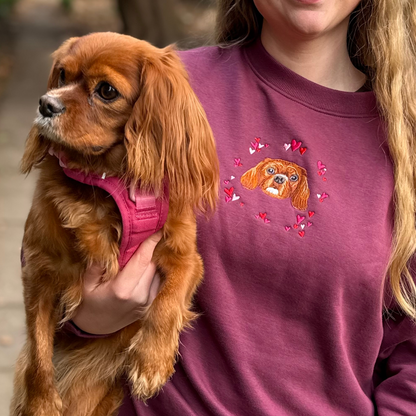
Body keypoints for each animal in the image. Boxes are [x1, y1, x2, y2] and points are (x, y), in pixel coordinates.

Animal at [8, 32, 218, 416]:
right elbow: (39, 348)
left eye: (106, 91)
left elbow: (168, 302)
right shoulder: (40, 272)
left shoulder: (185, 258)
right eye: (61, 75)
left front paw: (152, 362)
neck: (104, 180)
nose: (46, 104)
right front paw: (41, 403)